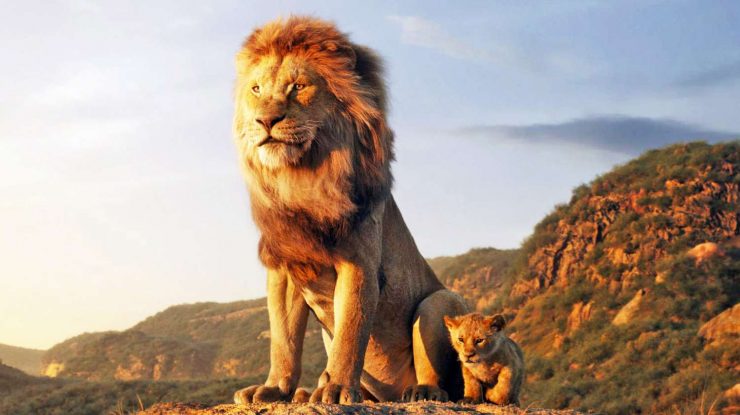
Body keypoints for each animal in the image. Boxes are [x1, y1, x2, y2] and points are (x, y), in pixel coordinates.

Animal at [231, 16, 469, 404]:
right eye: (256, 89)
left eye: (298, 86)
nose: (265, 121)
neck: (301, 179)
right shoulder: (285, 267)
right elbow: (283, 339)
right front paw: (275, 389)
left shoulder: (359, 263)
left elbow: (350, 332)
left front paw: (337, 388)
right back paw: (305, 393)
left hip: (439, 301)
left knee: (441, 380)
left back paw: (420, 392)